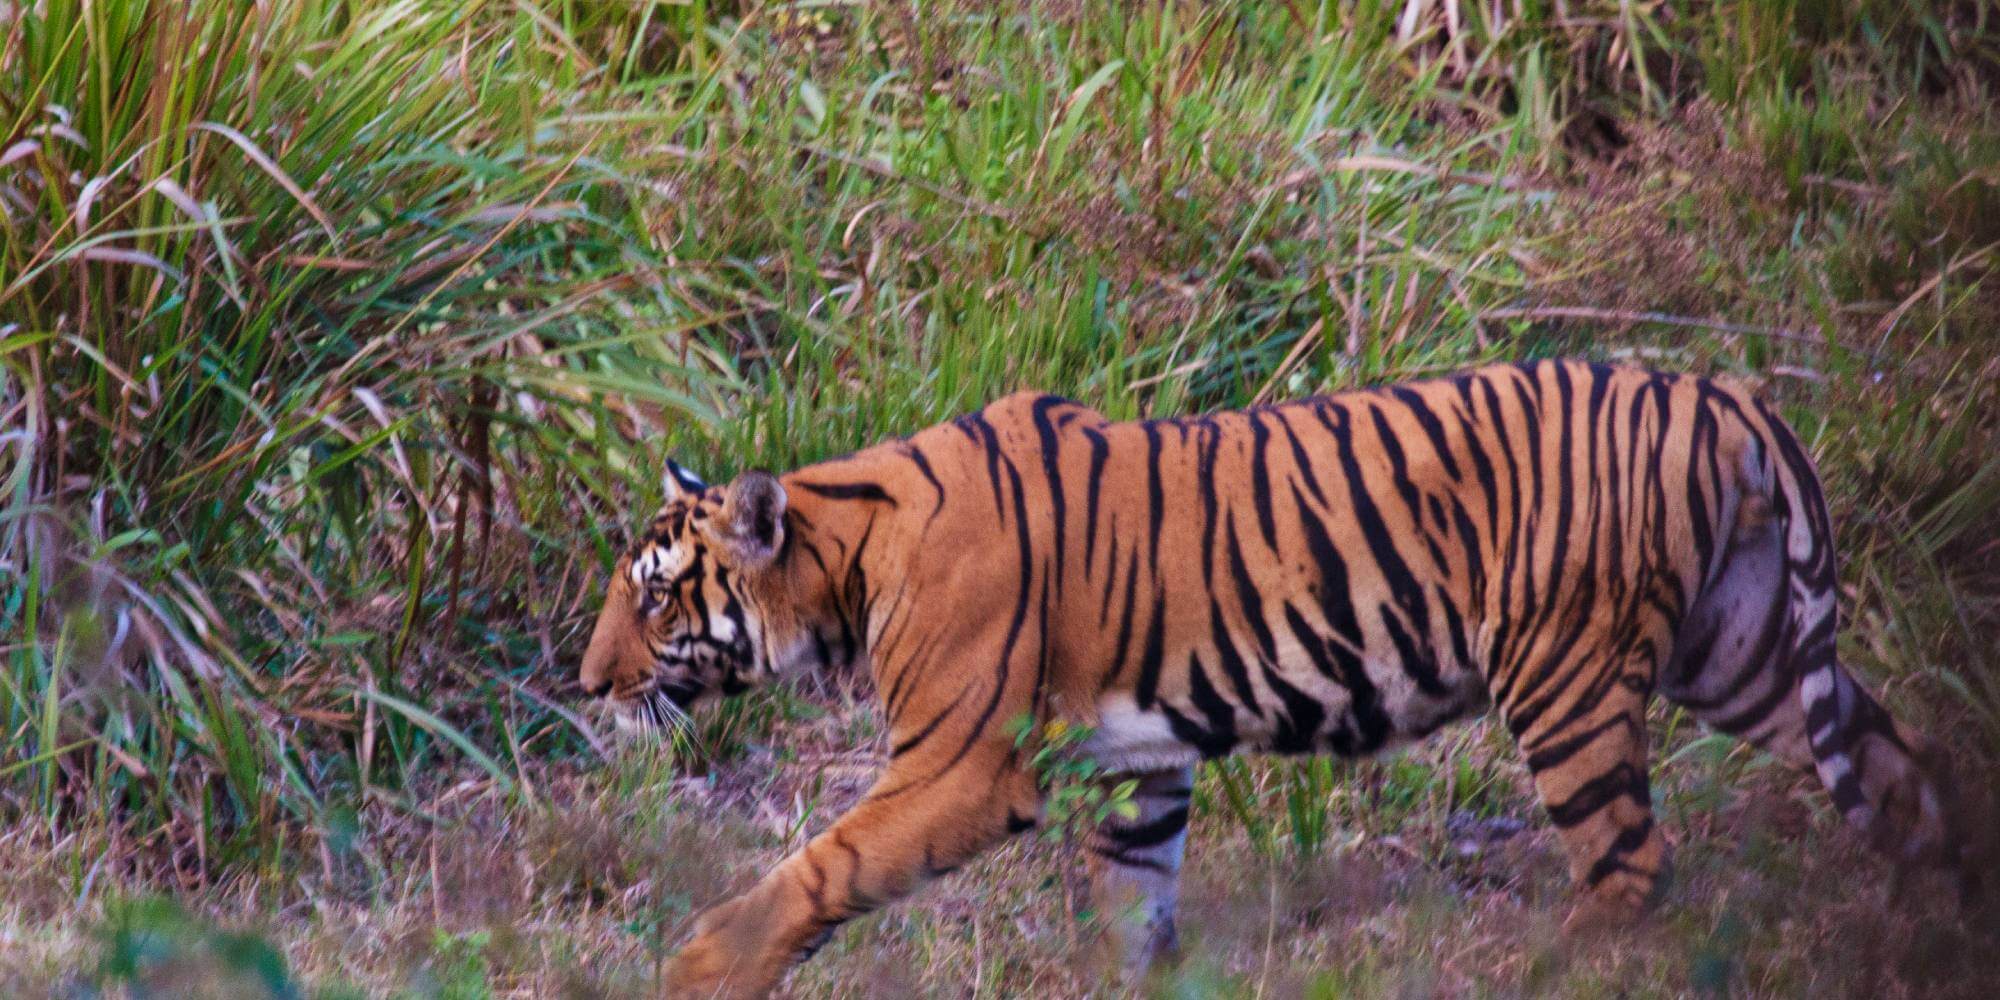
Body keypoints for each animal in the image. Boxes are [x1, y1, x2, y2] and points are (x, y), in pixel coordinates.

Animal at [580, 362, 1968, 1000]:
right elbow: (1128, 909)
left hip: (1564, 676)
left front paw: (700, 964)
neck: (846, 561)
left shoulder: (959, 765)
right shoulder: (1138, 768)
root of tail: (1725, 394)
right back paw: (1926, 933)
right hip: (1742, 655)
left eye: (652, 595)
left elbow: (820, 867)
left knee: (1629, 865)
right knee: (1904, 779)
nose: (588, 685)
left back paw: (1545, 964)